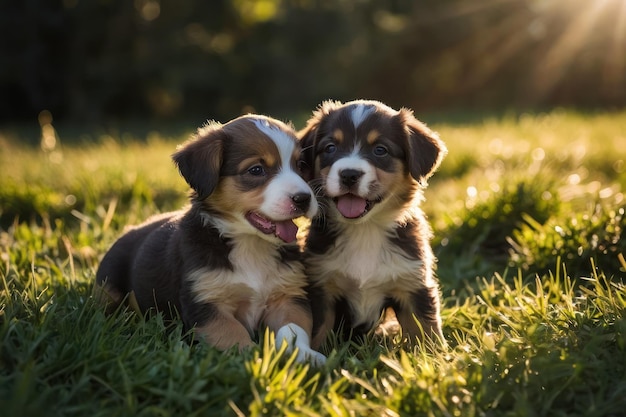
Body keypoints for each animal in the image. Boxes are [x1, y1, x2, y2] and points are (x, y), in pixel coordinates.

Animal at [96, 114, 326, 364]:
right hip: (108, 287)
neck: (250, 244)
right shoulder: (206, 304)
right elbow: (233, 333)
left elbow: (293, 330)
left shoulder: (288, 296)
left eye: (300, 165)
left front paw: (305, 356)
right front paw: (254, 358)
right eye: (256, 170)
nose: (303, 199)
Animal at [296, 100, 444, 348]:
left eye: (380, 150)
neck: (365, 230)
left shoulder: (413, 284)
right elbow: (317, 333)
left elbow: (425, 330)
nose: (349, 174)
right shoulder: (320, 287)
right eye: (330, 148)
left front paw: (436, 355)